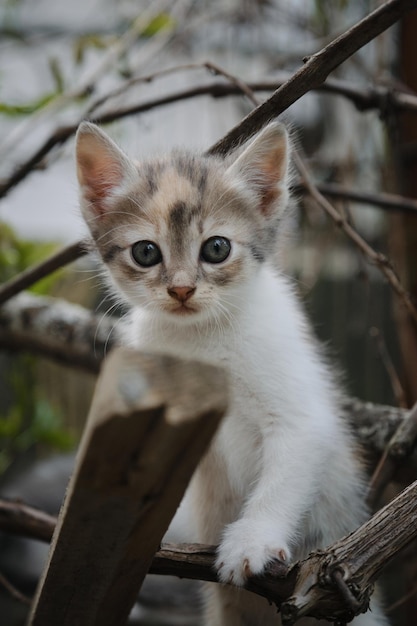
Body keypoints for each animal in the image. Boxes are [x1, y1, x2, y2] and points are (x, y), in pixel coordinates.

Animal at [76, 122, 388, 624]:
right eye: (146, 253)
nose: (182, 290)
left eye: (216, 249)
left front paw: (252, 541)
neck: (203, 336)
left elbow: (285, 474)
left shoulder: (299, 411)